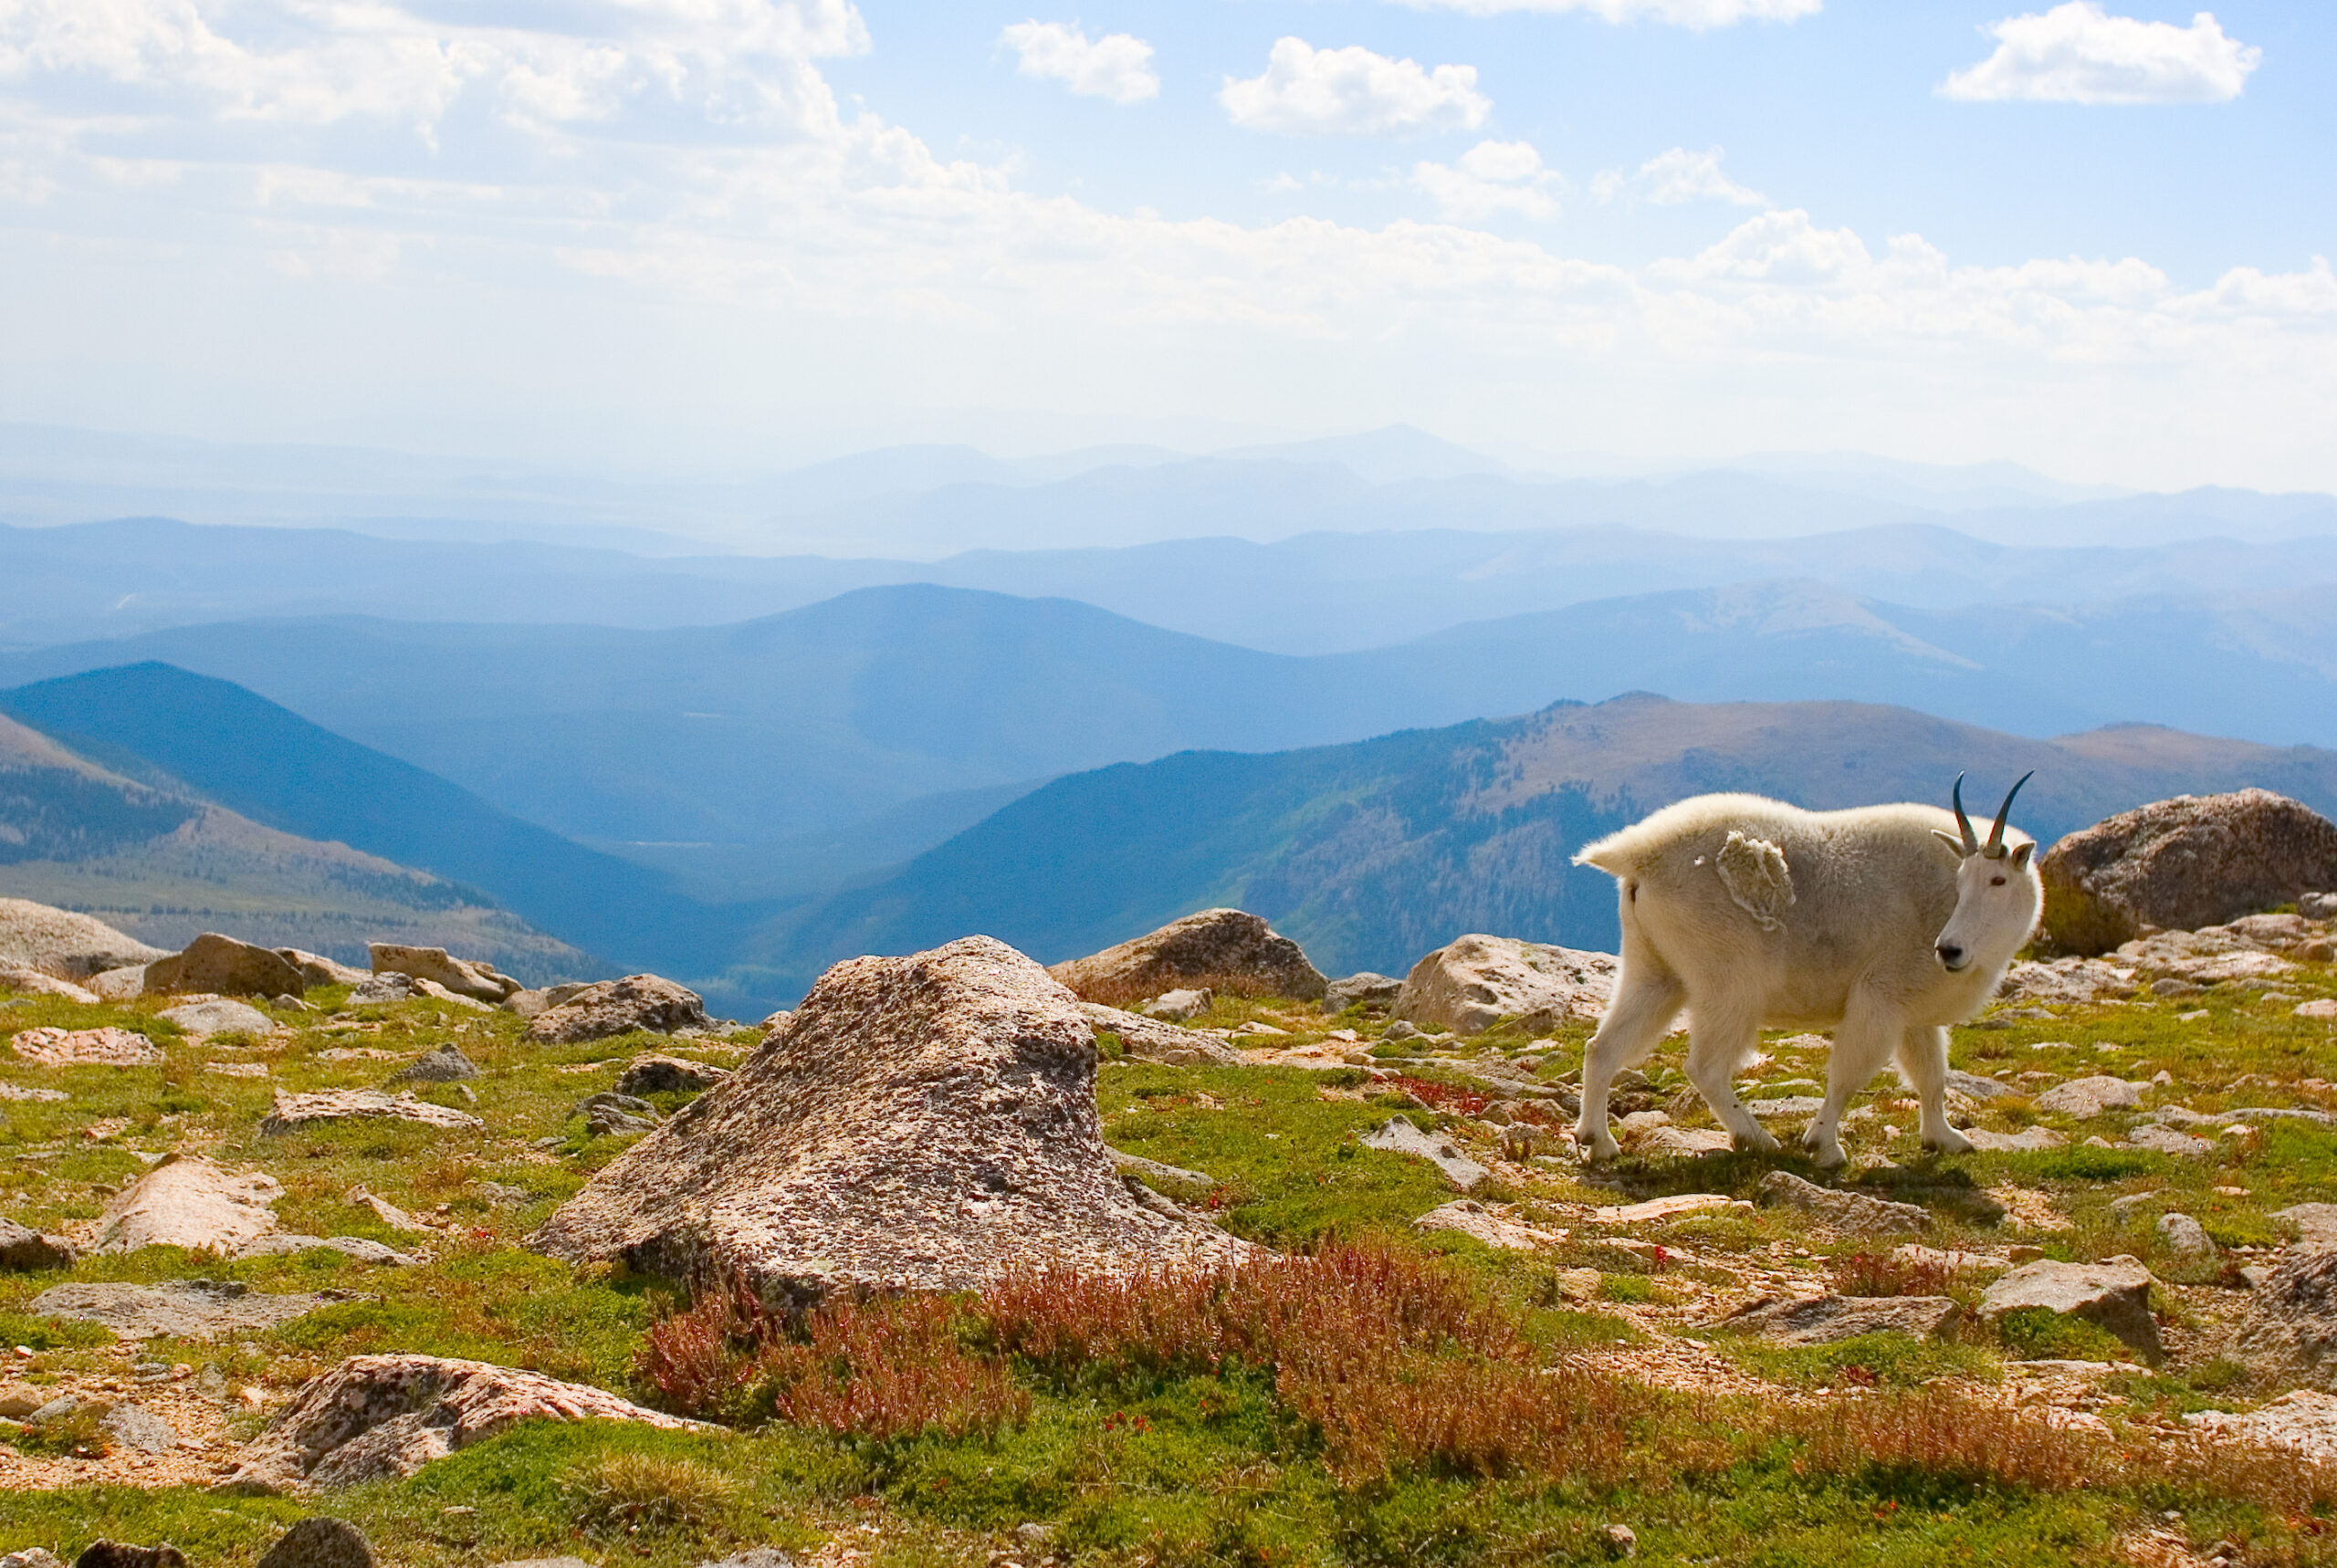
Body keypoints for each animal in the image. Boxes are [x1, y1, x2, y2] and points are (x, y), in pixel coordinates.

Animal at [1571, 775, 2041, 1168]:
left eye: (1998, 880)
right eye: (1962, 882)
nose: (1948, 950)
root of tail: (1639, 857)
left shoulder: (1912, 1011)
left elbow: (1932, 1076)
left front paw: (1946, 1139)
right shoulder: (1879, 994)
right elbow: (1848, 1075)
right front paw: (1824, 1146)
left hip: (1655, 972)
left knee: (1604, 1046)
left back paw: (1598, 1141)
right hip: (1731, 981)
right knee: (1705, 1066)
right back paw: (1756, 1138)